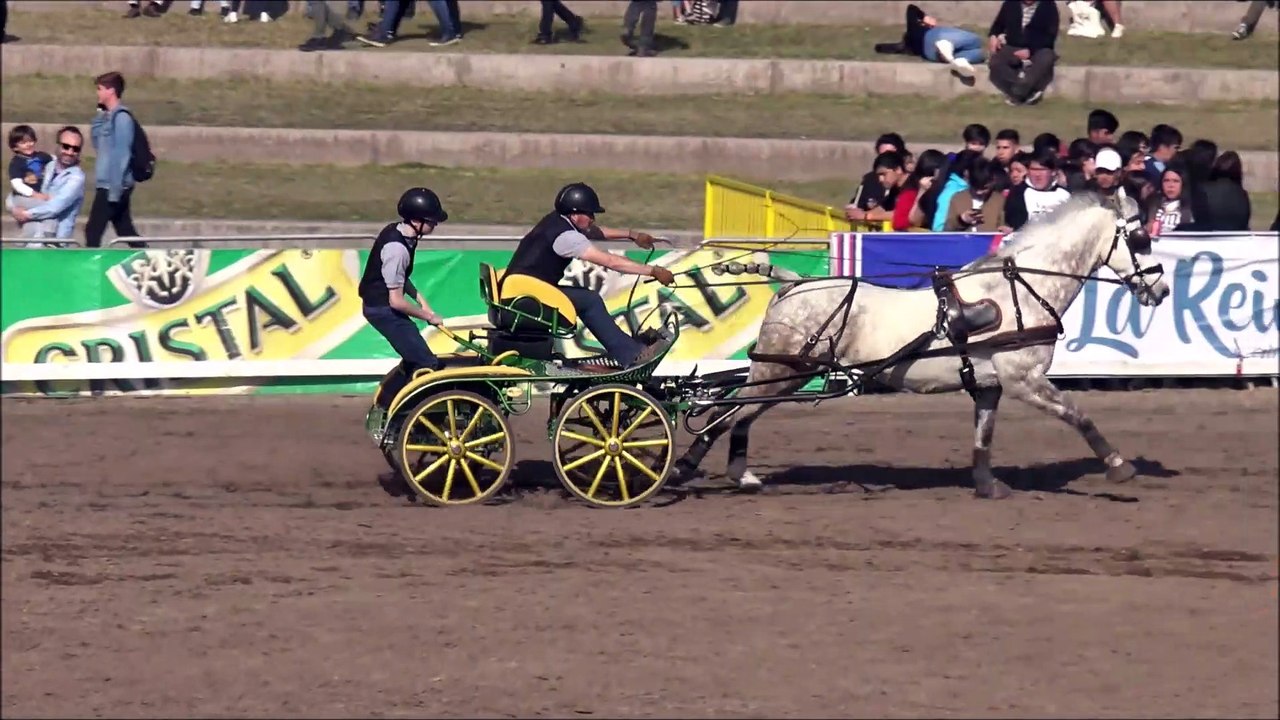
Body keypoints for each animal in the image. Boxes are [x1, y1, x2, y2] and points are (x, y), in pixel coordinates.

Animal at [676, 191, 1170, 499]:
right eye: (1141, 237)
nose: (1162, 290)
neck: (1018, 290)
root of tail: (794, 283)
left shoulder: (990, 385)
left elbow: (983, 436)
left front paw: (988, 485)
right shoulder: (1024, 378)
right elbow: (1078, 415)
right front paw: (1119, 466)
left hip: (789, 373)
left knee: (740, 415)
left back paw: (741, 475)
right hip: (779, 371)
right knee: (724, 413)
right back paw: (685, 467)